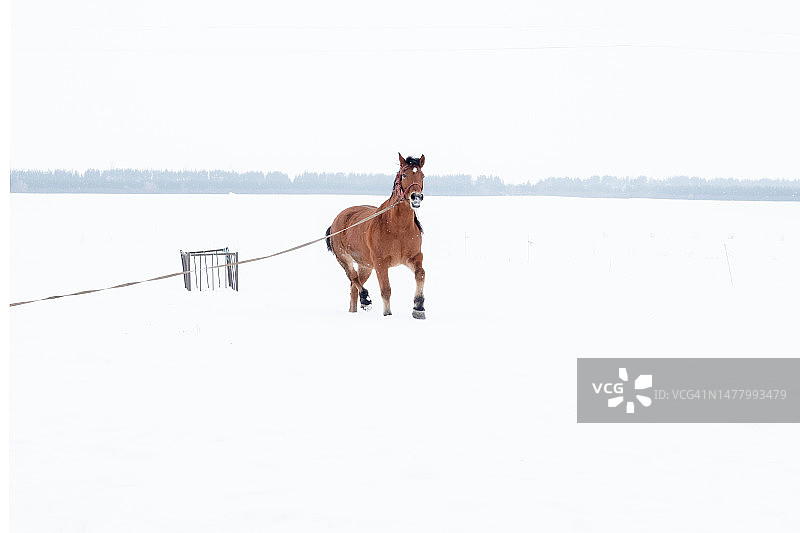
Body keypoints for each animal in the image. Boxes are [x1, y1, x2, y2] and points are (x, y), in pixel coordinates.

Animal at [325, 153, 426, 319]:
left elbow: (421, 274)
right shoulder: (380, 262)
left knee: (353, 287)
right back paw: (366, 300)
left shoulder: (413, 257)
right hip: (344, 258)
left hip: (365, 265)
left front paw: (418, 308)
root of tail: (336, 219)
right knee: (353, 277)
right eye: (404, 174)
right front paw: (387, 314)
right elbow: (386, 289)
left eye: (422, 175)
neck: (399, 228)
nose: (416, 197)